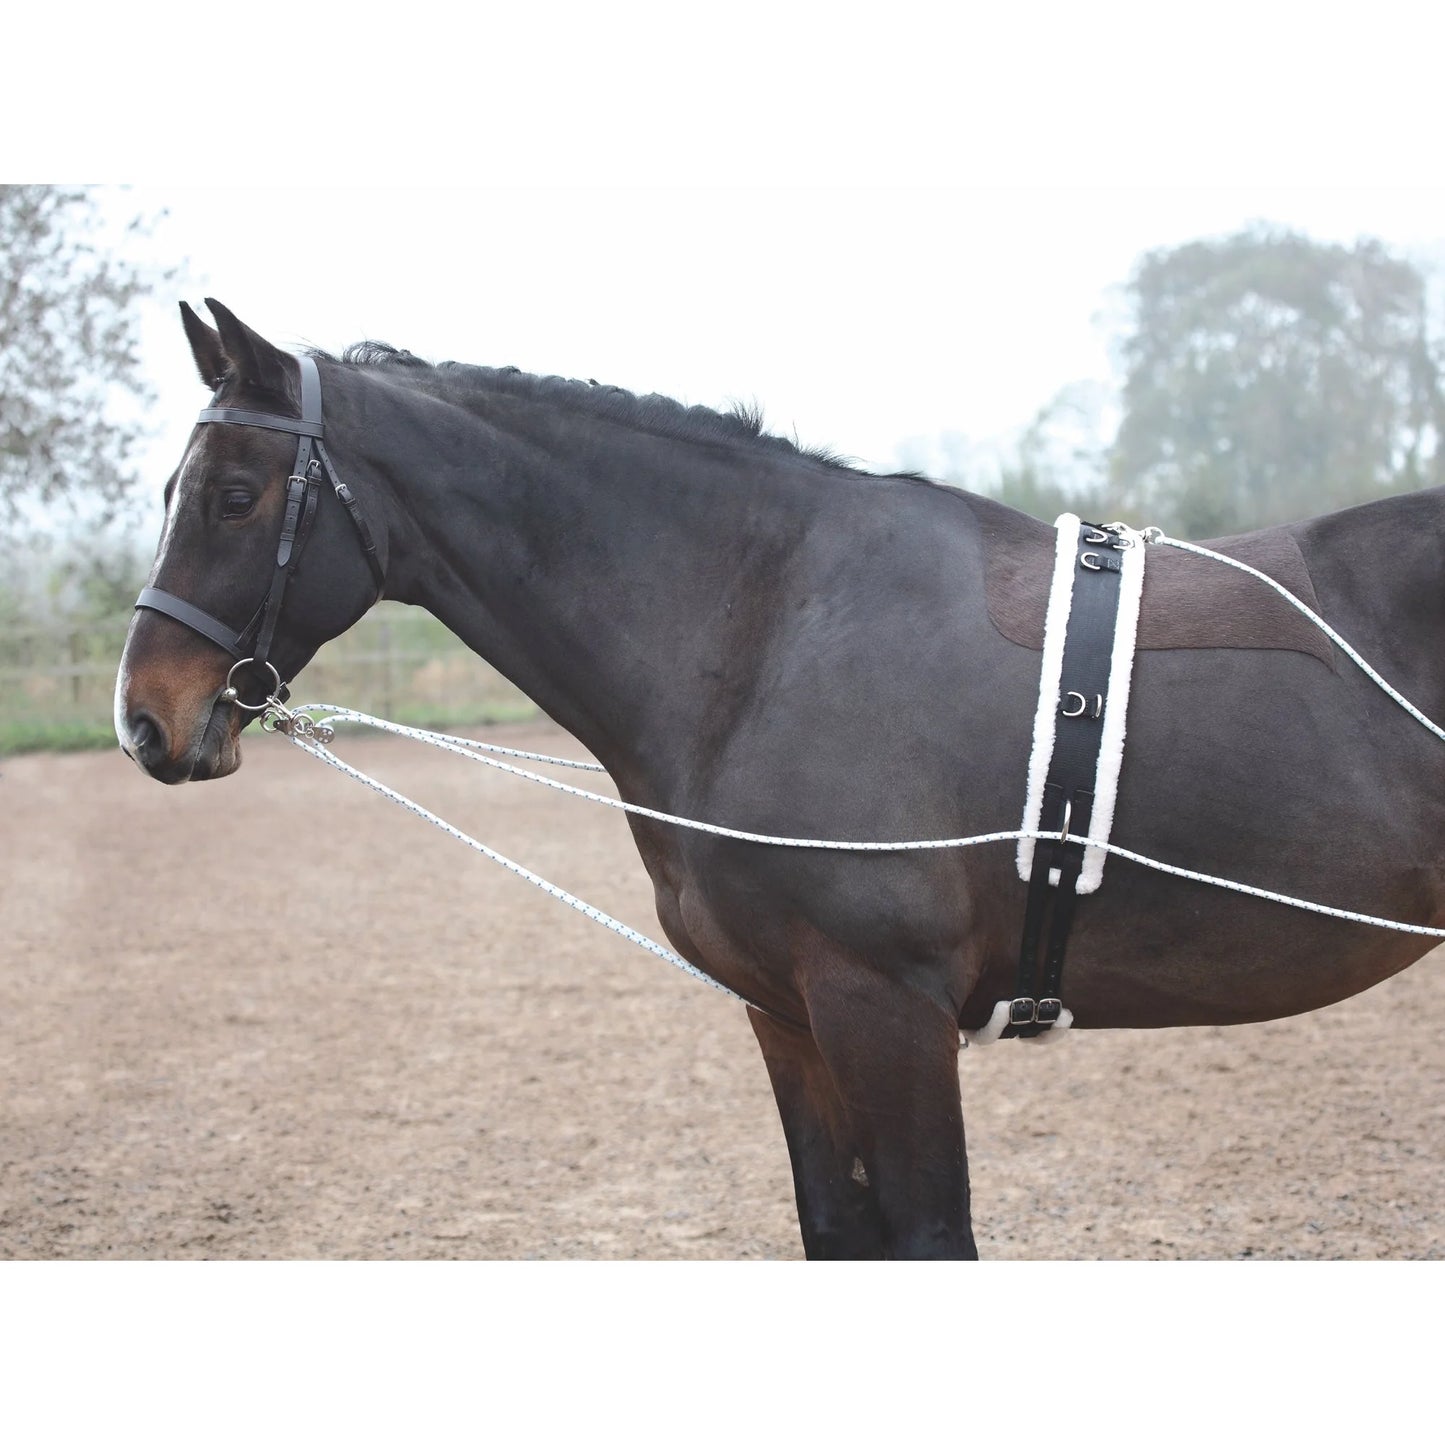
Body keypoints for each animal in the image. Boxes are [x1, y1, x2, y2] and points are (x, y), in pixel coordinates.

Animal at [115, 299, 1445, 1259]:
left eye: (235, 494)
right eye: (175, 489)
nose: (144, 719)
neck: (767, 626)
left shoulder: (885, 1007)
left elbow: (925, 1239)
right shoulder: (788, 1015)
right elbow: (836, 1232)